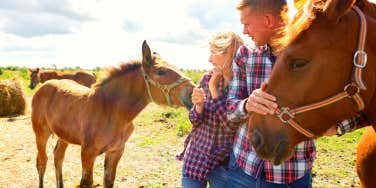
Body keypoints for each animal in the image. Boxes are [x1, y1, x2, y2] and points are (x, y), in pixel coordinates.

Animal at [31, 41, 195, 188]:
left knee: (58, 157)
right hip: (41, 133)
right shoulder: (87, 153)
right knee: (42, 162)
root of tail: (44, 86)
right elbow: (86, 183)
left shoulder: (116, 151)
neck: (111, 111)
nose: (193, 92)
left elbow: (108, 181)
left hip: (64, 135)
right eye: (161, 72)